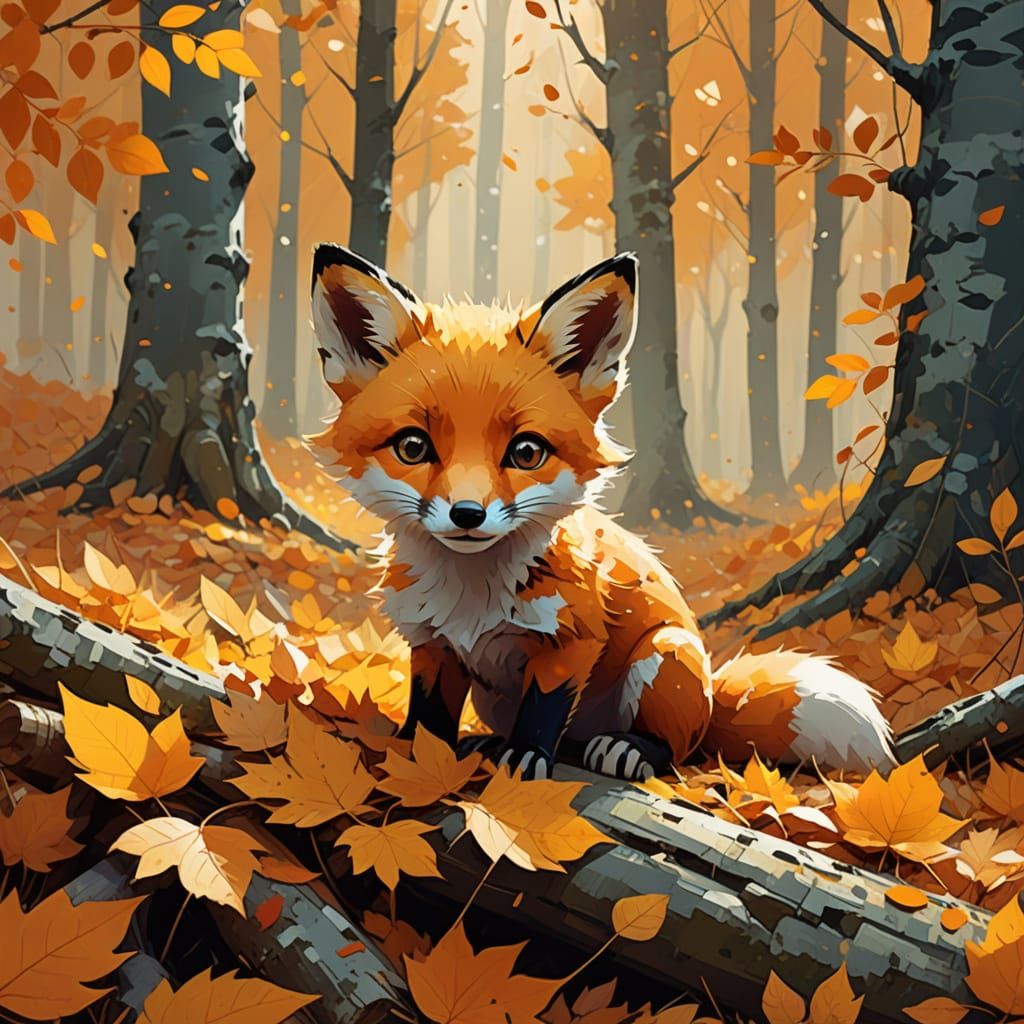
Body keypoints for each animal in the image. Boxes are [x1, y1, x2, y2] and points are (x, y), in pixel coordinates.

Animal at [308, 243, 895, 781]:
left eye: (526, 452)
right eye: (413, 447)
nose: (468, 514)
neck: (472, 595)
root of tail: (711, 700)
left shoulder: (572, 638)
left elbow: (543, 712)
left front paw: (525, 759)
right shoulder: (433, 643)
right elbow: (429, 717)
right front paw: (415, 758)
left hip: (666, 655)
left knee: (680, 748)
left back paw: (629, 750)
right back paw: (491, 743)